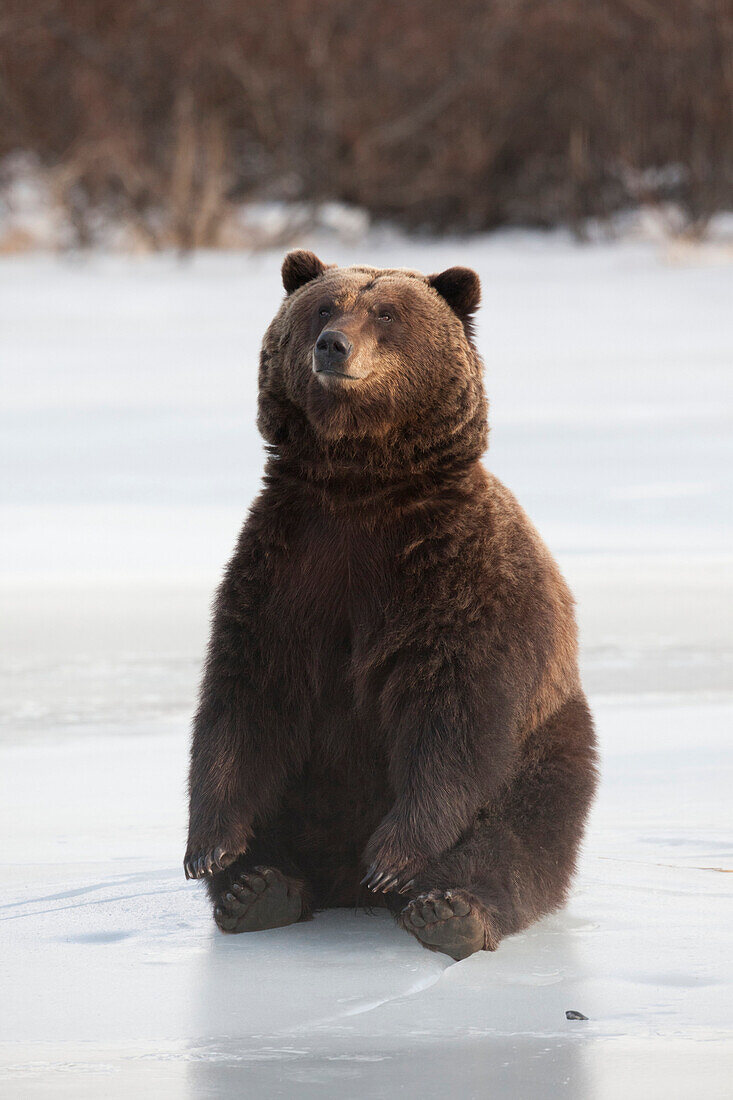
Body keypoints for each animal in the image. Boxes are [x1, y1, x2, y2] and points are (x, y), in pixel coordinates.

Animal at [182, 253, 594, 959]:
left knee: (519, 833)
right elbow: (245, 694)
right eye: (324, 306)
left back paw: (449, 910)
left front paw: (394, 858)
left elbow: (455, 712)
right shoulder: (287, 570)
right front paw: (212, 848)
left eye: (386, 313)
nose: (332, 345)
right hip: (308, 790)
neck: (359, 486)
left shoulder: (452, 574)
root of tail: (341, 885)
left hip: (549, 738)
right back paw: (257, 890)